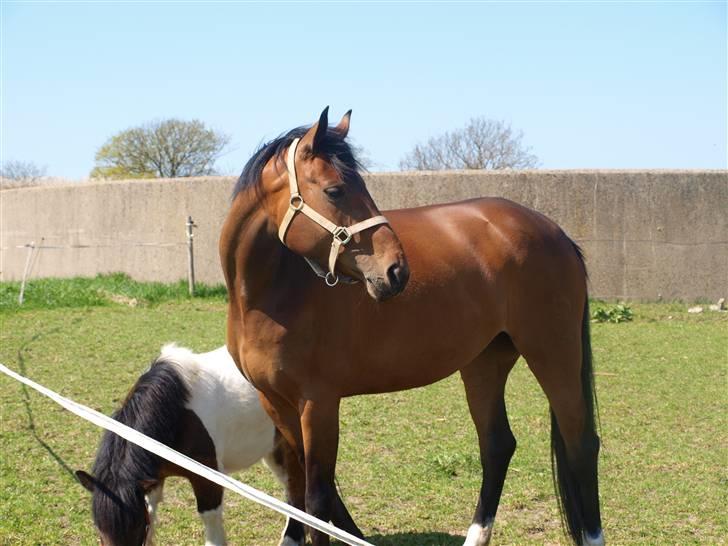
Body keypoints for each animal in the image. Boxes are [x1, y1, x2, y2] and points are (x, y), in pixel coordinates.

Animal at [74, 342, 362, 540]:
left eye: (136, 528)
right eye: (99, 531)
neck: (177, 411)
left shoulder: (207, 474)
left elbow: (210, 520)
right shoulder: (153, 476)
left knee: (297, 490)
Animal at [220, 107, 604, 544]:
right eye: (335, 191)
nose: (396, 271)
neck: (268, 295)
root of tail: (555, 232)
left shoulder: (317, 404)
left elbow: (316, 497)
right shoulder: (276, 403)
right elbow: (299, 489)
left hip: (554, 354)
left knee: (581, 444)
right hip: (485, 364)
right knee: (497, 446)